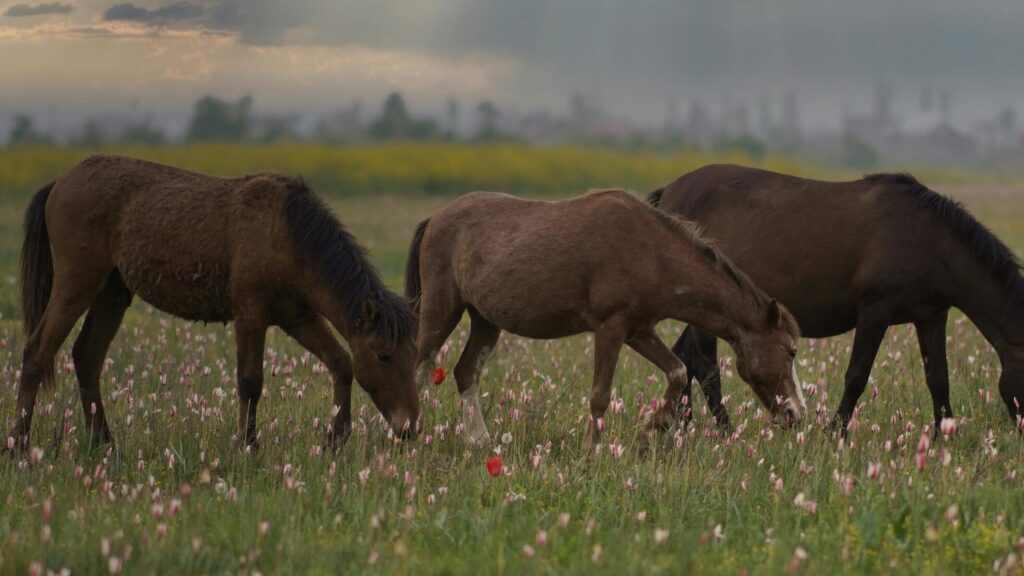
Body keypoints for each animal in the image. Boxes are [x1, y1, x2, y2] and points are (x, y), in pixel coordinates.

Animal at [7, 154, 415, 450]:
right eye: (384, 355)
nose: (410, 427)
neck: (287, 235)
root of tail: (58, 182)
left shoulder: (298, 316)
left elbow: (341, 363)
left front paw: (335, 439)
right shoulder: (251, 315)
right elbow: (250, 381)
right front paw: (247, 446)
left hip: (112, 292)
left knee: (87, 356)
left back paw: (104, 444)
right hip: (77, 282)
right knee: (38, 351)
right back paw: (19, 445)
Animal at [403, 188, 802, 448]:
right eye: (791, 351)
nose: (797, 413)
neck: (652, 252)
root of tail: (435, 218)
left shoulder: (639, 331)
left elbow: (676, 372)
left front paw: (651, 429)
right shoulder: (610, 329)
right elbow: (600, 395)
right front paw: (592, 451)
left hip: (486, 321)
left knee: (466, 372)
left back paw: (480, 441)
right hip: (442, 309)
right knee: (420, 366)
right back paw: (409, 435)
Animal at [651, 163, 1024, 428]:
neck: (929, 241)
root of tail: (667, 194)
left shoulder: (931, 315)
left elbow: (938, 378)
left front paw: (943, 435)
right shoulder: (875, 311)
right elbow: (857, 376)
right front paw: (836, 432)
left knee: (685, 358)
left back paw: (679, 427)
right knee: (706, 366)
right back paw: (723, 430)